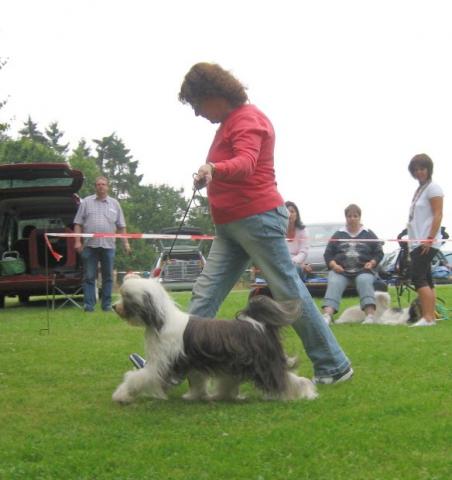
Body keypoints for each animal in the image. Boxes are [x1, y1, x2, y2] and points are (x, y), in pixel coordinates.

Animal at [112, 276, 318, 404]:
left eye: (126, 297)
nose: (114, 306)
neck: (161, 321)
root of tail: (257, 324)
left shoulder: (161, 364)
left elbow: (137, 378)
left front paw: (121, 396)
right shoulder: (194, 363)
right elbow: (197, 381)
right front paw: (195, 396)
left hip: (264, 364)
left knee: (285, 379)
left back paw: (304, 392)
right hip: (234, 365)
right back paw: (219, 396)